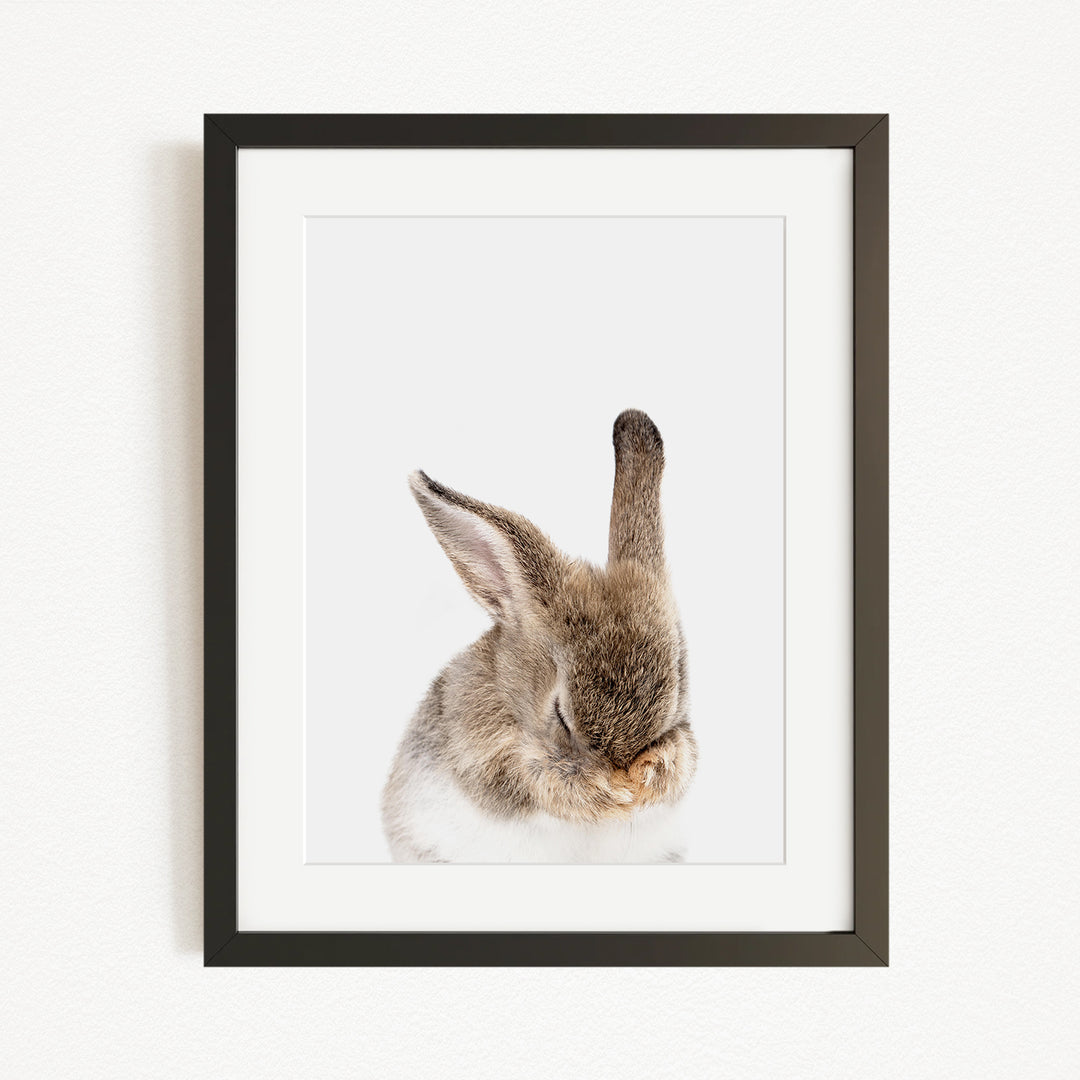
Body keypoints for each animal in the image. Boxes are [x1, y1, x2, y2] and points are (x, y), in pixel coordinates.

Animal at [381, 409, 697, 863]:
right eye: (560, 714)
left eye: (677, 687)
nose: (624, 773)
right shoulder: (493, 762)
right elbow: (541, 783)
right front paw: (610, 793)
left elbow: (682, 757)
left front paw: (648, 778)